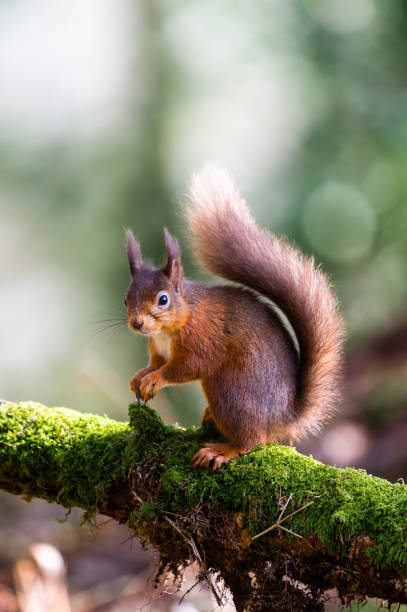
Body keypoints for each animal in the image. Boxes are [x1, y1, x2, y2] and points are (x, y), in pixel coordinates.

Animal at [123, 165, 344, 470]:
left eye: (163, 300)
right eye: (126, 299)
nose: (137, 323)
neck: (169, 328)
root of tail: (283, 418)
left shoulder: (203, 338)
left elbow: (187, 367)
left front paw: (155, 379)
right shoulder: (158, 348)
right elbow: (155, 363)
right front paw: (140, 376)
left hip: (229, 390)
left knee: (251, 440)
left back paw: (222, 450)